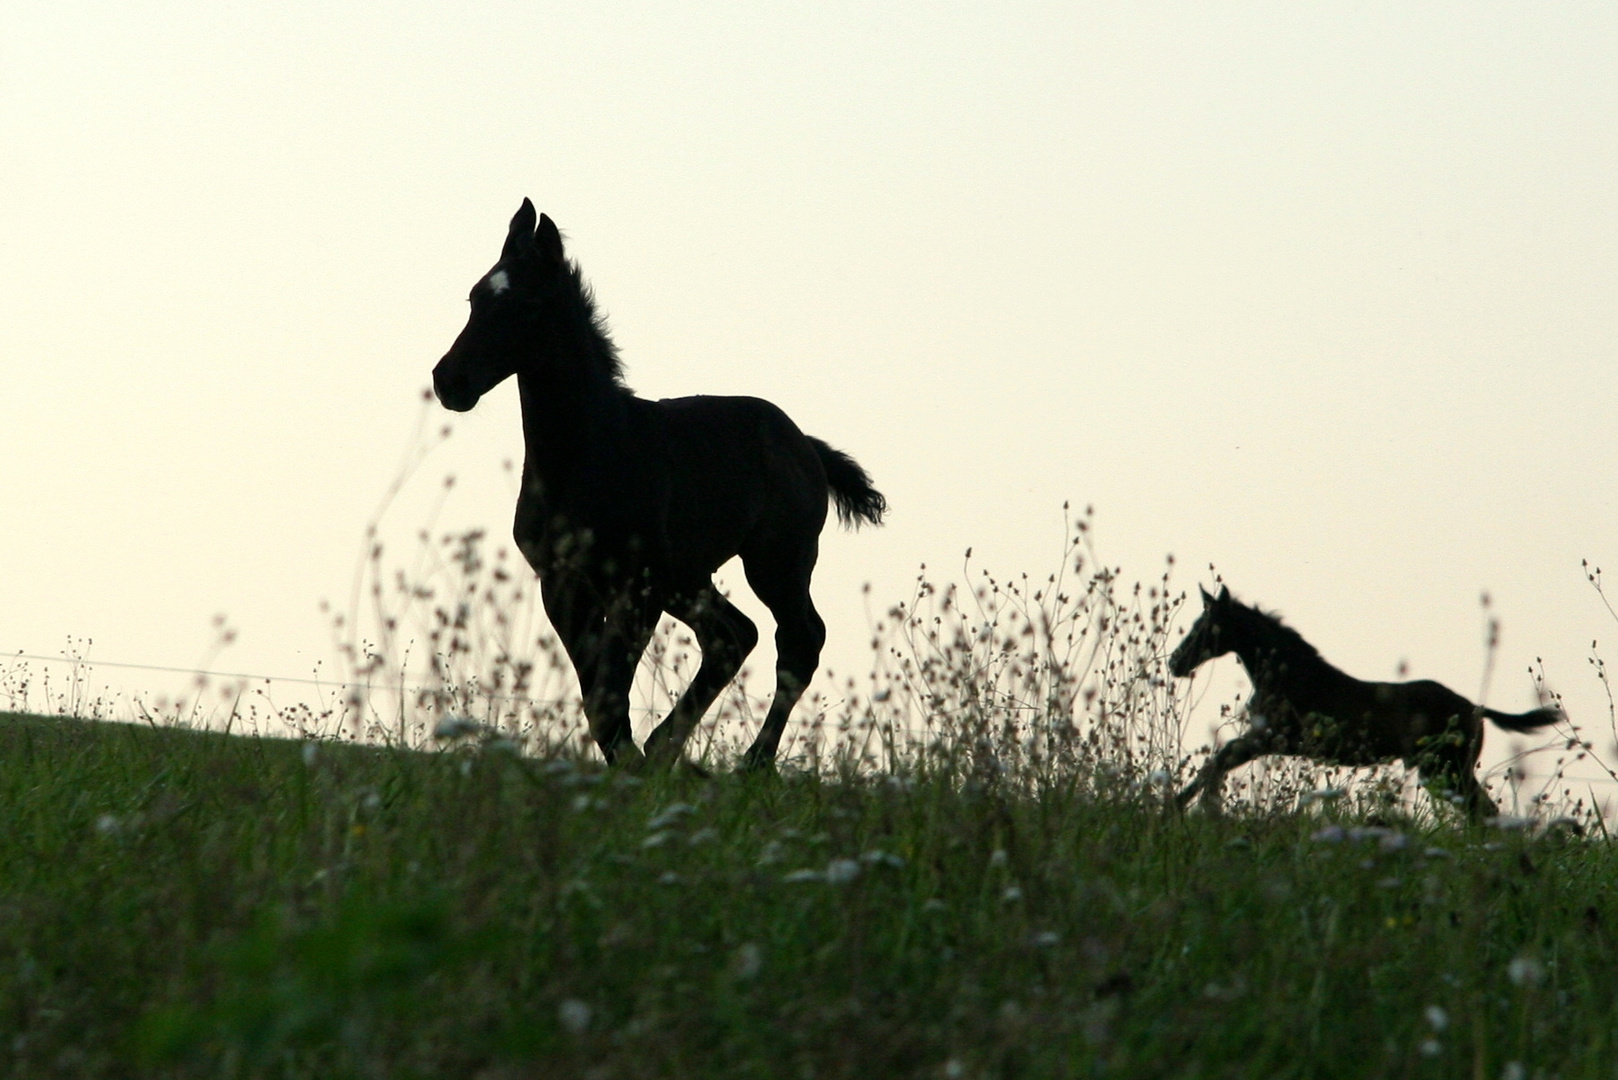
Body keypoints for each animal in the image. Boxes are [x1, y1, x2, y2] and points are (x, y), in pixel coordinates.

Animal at [1171, 586, 1559, 816]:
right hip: (1445, 770)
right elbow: (1219, 759)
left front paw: (1181, 804)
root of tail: (1476, 709)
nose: (1175, 662)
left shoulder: (1272, 738)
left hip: (1447, 768)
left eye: (1203, 625)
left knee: (1484, 813)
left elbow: (1220, 758)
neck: (1288, 676)